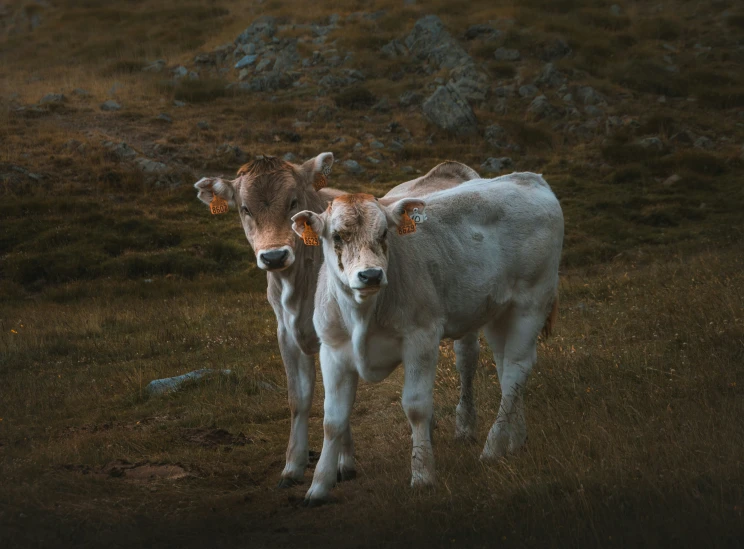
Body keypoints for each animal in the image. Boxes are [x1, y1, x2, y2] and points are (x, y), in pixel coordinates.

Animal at [195, 154, 480, 484]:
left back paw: (465, 428)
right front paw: (293, 466)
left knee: (466, 362)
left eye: (293, 201)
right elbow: (299, 399)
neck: (298, 289)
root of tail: (450, 167)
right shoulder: (286, 334)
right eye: (245, 209)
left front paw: (343, 464)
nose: (274, 256)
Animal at [292, 173, 564, 504]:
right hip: (499, 311)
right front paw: (318, 486)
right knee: (507, 369)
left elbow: (417, 406)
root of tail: (529, 178)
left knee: (516, 369)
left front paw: (422, 475)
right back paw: (516, 441)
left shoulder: (421, 338)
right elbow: (332, 420)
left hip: (531, 302)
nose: (370, 275)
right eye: (337, 236)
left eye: (384, 233)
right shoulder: (332, 351)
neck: (363, 314)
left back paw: (493, 447)